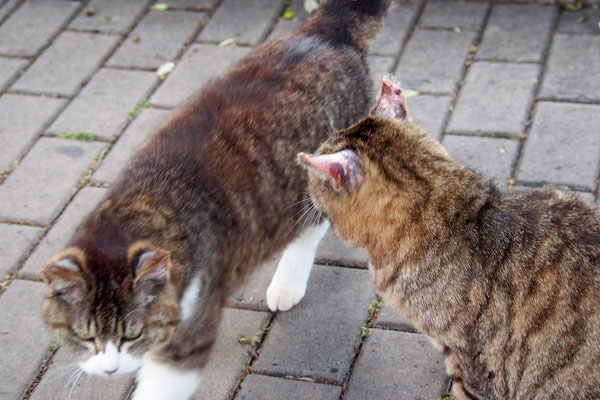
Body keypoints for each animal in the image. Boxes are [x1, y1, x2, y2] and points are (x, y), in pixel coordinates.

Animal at [39, 0, 392, 400]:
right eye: (84, 335)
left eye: (132, 333)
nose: (109, 368)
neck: (142, 204)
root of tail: (325, 33)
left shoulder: (189, 336)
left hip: (320, 176)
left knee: (309, 226)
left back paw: (288, 282)